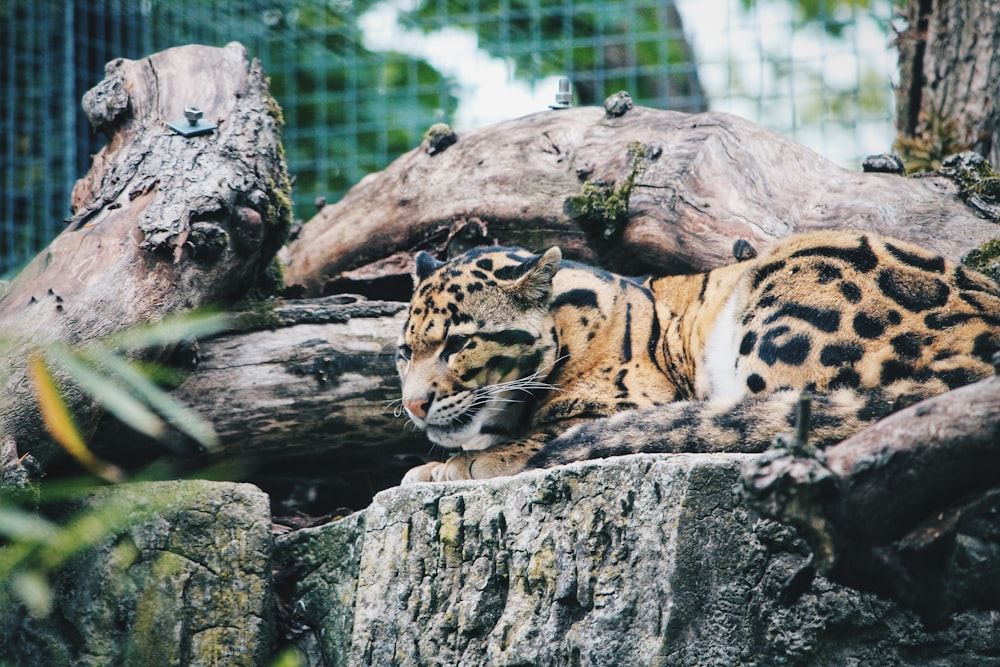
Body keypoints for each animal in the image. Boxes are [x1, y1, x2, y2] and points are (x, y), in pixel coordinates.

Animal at [398, 232, 1000, 482]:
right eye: (404, 353)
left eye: (458, 343)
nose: (413, 405)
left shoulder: (633, 398)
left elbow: (544, 432)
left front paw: (455, 465)